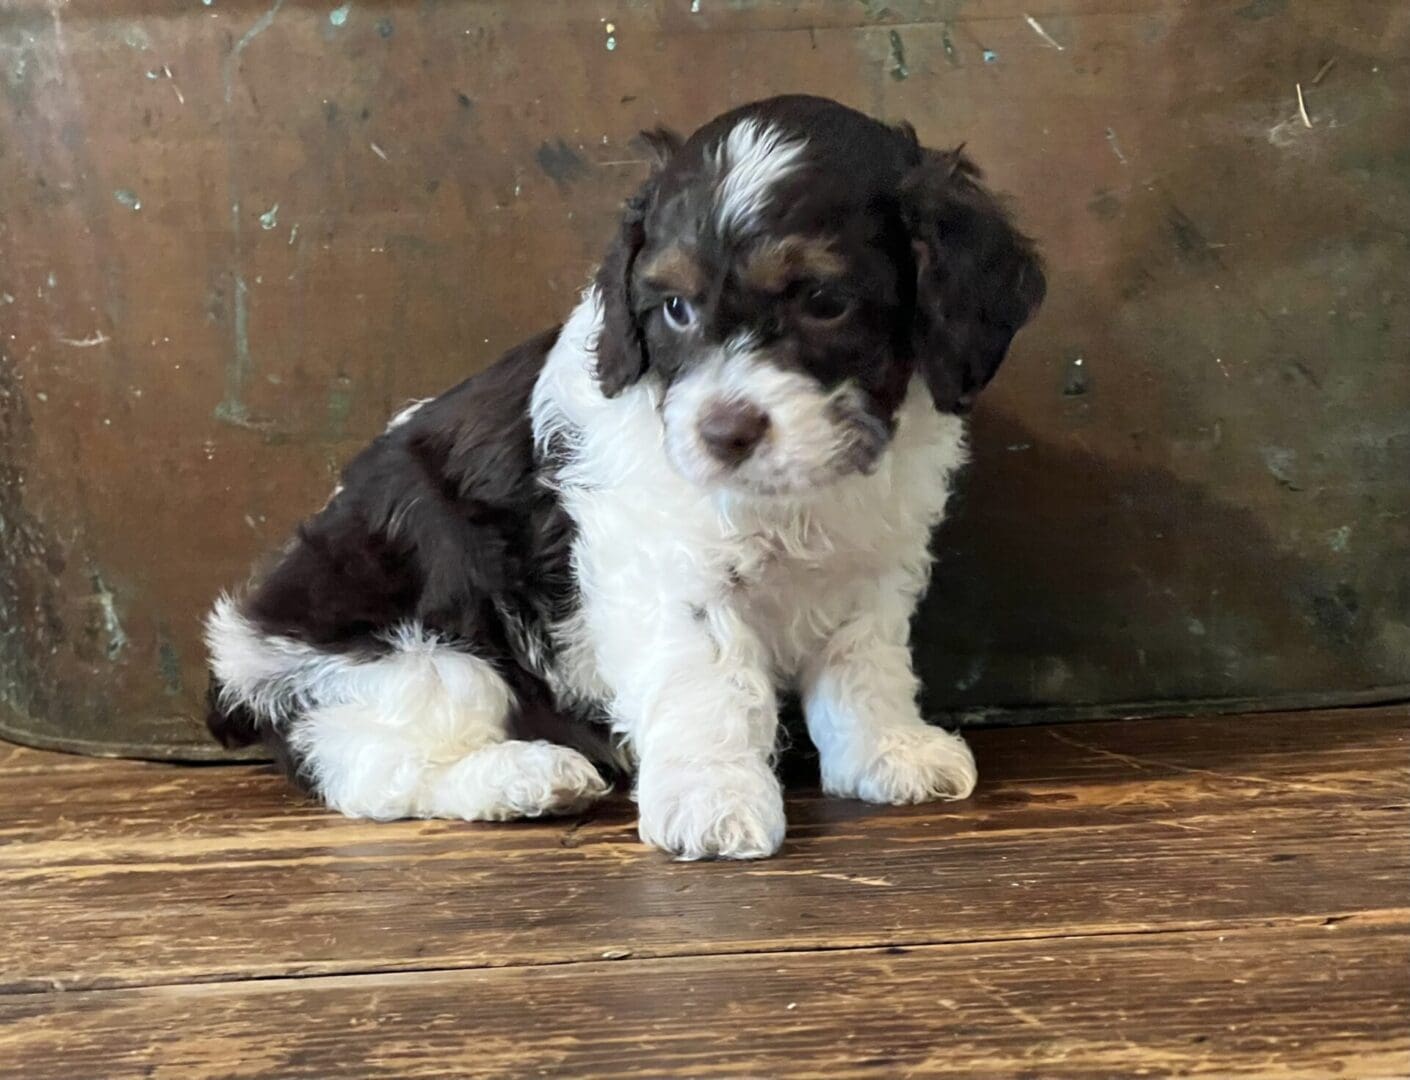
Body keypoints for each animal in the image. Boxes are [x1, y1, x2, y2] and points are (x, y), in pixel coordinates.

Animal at [208, 95, 1049, 862]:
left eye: (824, 302)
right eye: (675, 308)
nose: (722, 432)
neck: (795, 496)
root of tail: (241, 651)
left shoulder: (871, 565)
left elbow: (863, 664)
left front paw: (888, 752)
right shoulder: (667, 566)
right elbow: (706, 681)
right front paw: (712, 799)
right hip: (407, 651)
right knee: (373, 764)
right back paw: (525, 777)